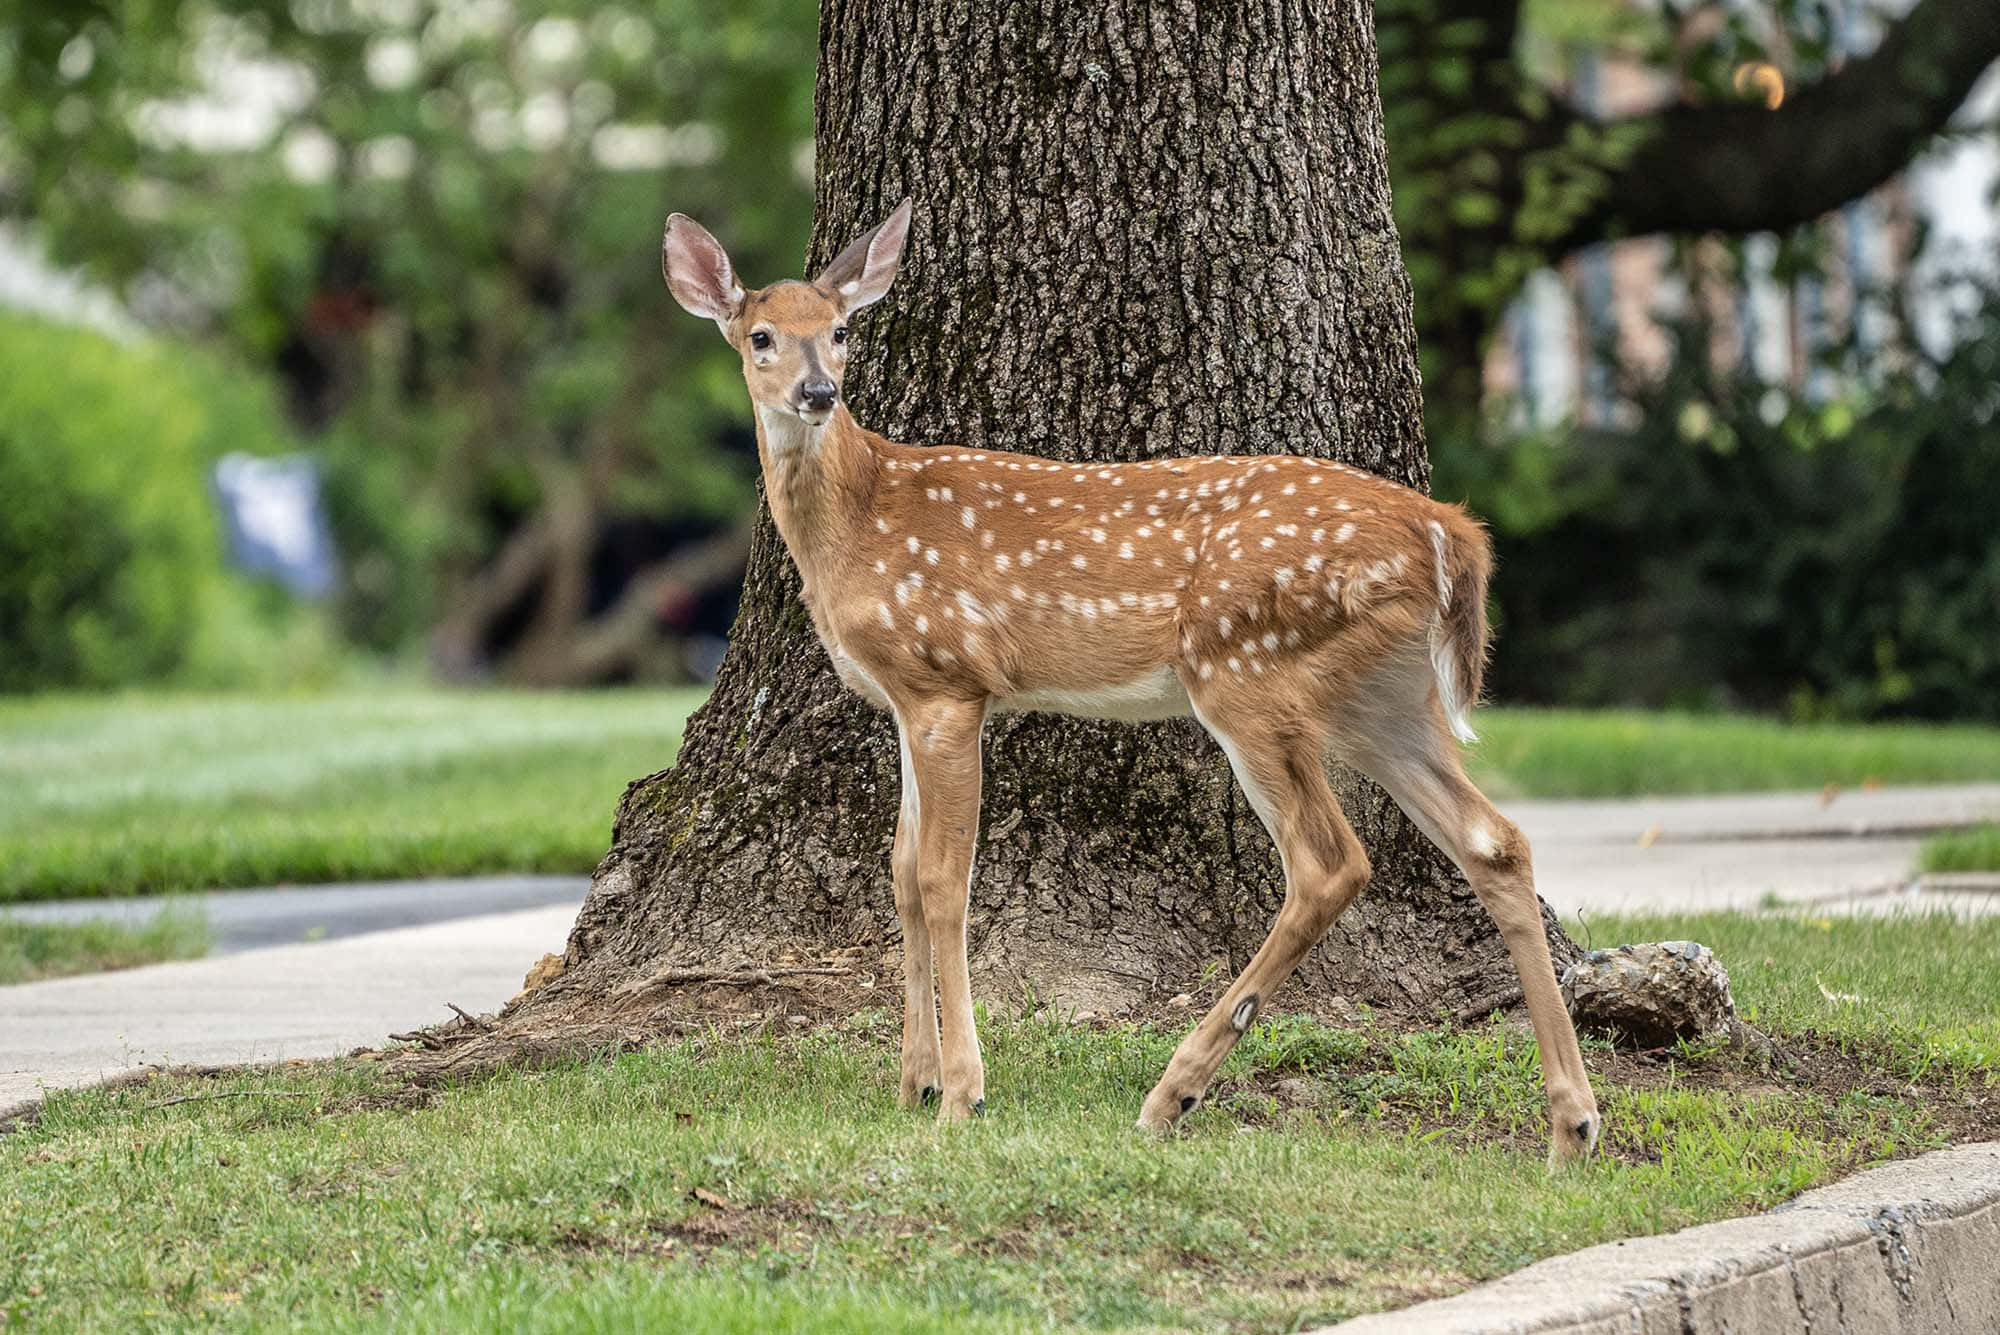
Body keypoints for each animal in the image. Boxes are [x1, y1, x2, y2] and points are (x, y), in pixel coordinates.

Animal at [661, 200, 1602, 1168]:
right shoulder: (903, 698)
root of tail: (1450, 531)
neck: (859, 522)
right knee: (1494, 840)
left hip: (1247, 671)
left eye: (841, 331)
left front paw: (961, 1094)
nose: (818, 393)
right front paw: (910, 1083)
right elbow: (899, 871)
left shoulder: (948, 680)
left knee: (1330, 862)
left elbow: (943, 879)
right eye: (762, 335)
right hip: (1383, 696)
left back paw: (1171, 1093)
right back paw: (1572, 1124)